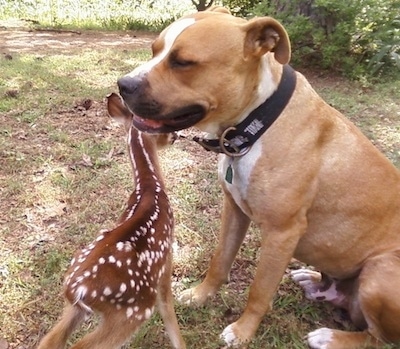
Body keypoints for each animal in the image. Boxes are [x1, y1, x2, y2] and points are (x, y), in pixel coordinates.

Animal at [38, 93, 186, 348]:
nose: (175, 136)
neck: (150, 186)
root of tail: (76, 290)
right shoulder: (166, 258)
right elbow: (168, 308)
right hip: (133, 310)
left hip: (74, 309)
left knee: (49, 341)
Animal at [115, 6, 400, 348]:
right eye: (155, 50)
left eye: (183, 62)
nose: (123, 84)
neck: (258, 121)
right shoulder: (234, 210)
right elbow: (219, 260)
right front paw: (200, 295)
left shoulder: (282, 233)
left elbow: (260, 290)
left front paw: (242, 331)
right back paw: (313, 280)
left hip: (380, 271)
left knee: (380, 337)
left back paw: (331, 337)